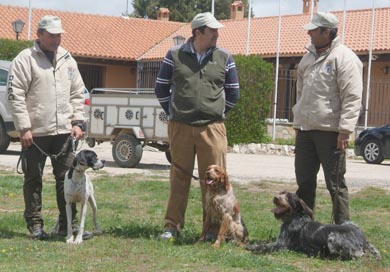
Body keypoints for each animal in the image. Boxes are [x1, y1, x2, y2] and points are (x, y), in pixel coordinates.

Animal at [247, 190, 380, 260]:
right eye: (281, 193)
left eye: (288, 197)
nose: (275, 198)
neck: (296, 217)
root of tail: (364, 240)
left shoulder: (281, 245)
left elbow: (264, 246)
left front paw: (252, 247)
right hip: (347, 222)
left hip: (333, 236)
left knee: (356, 255)